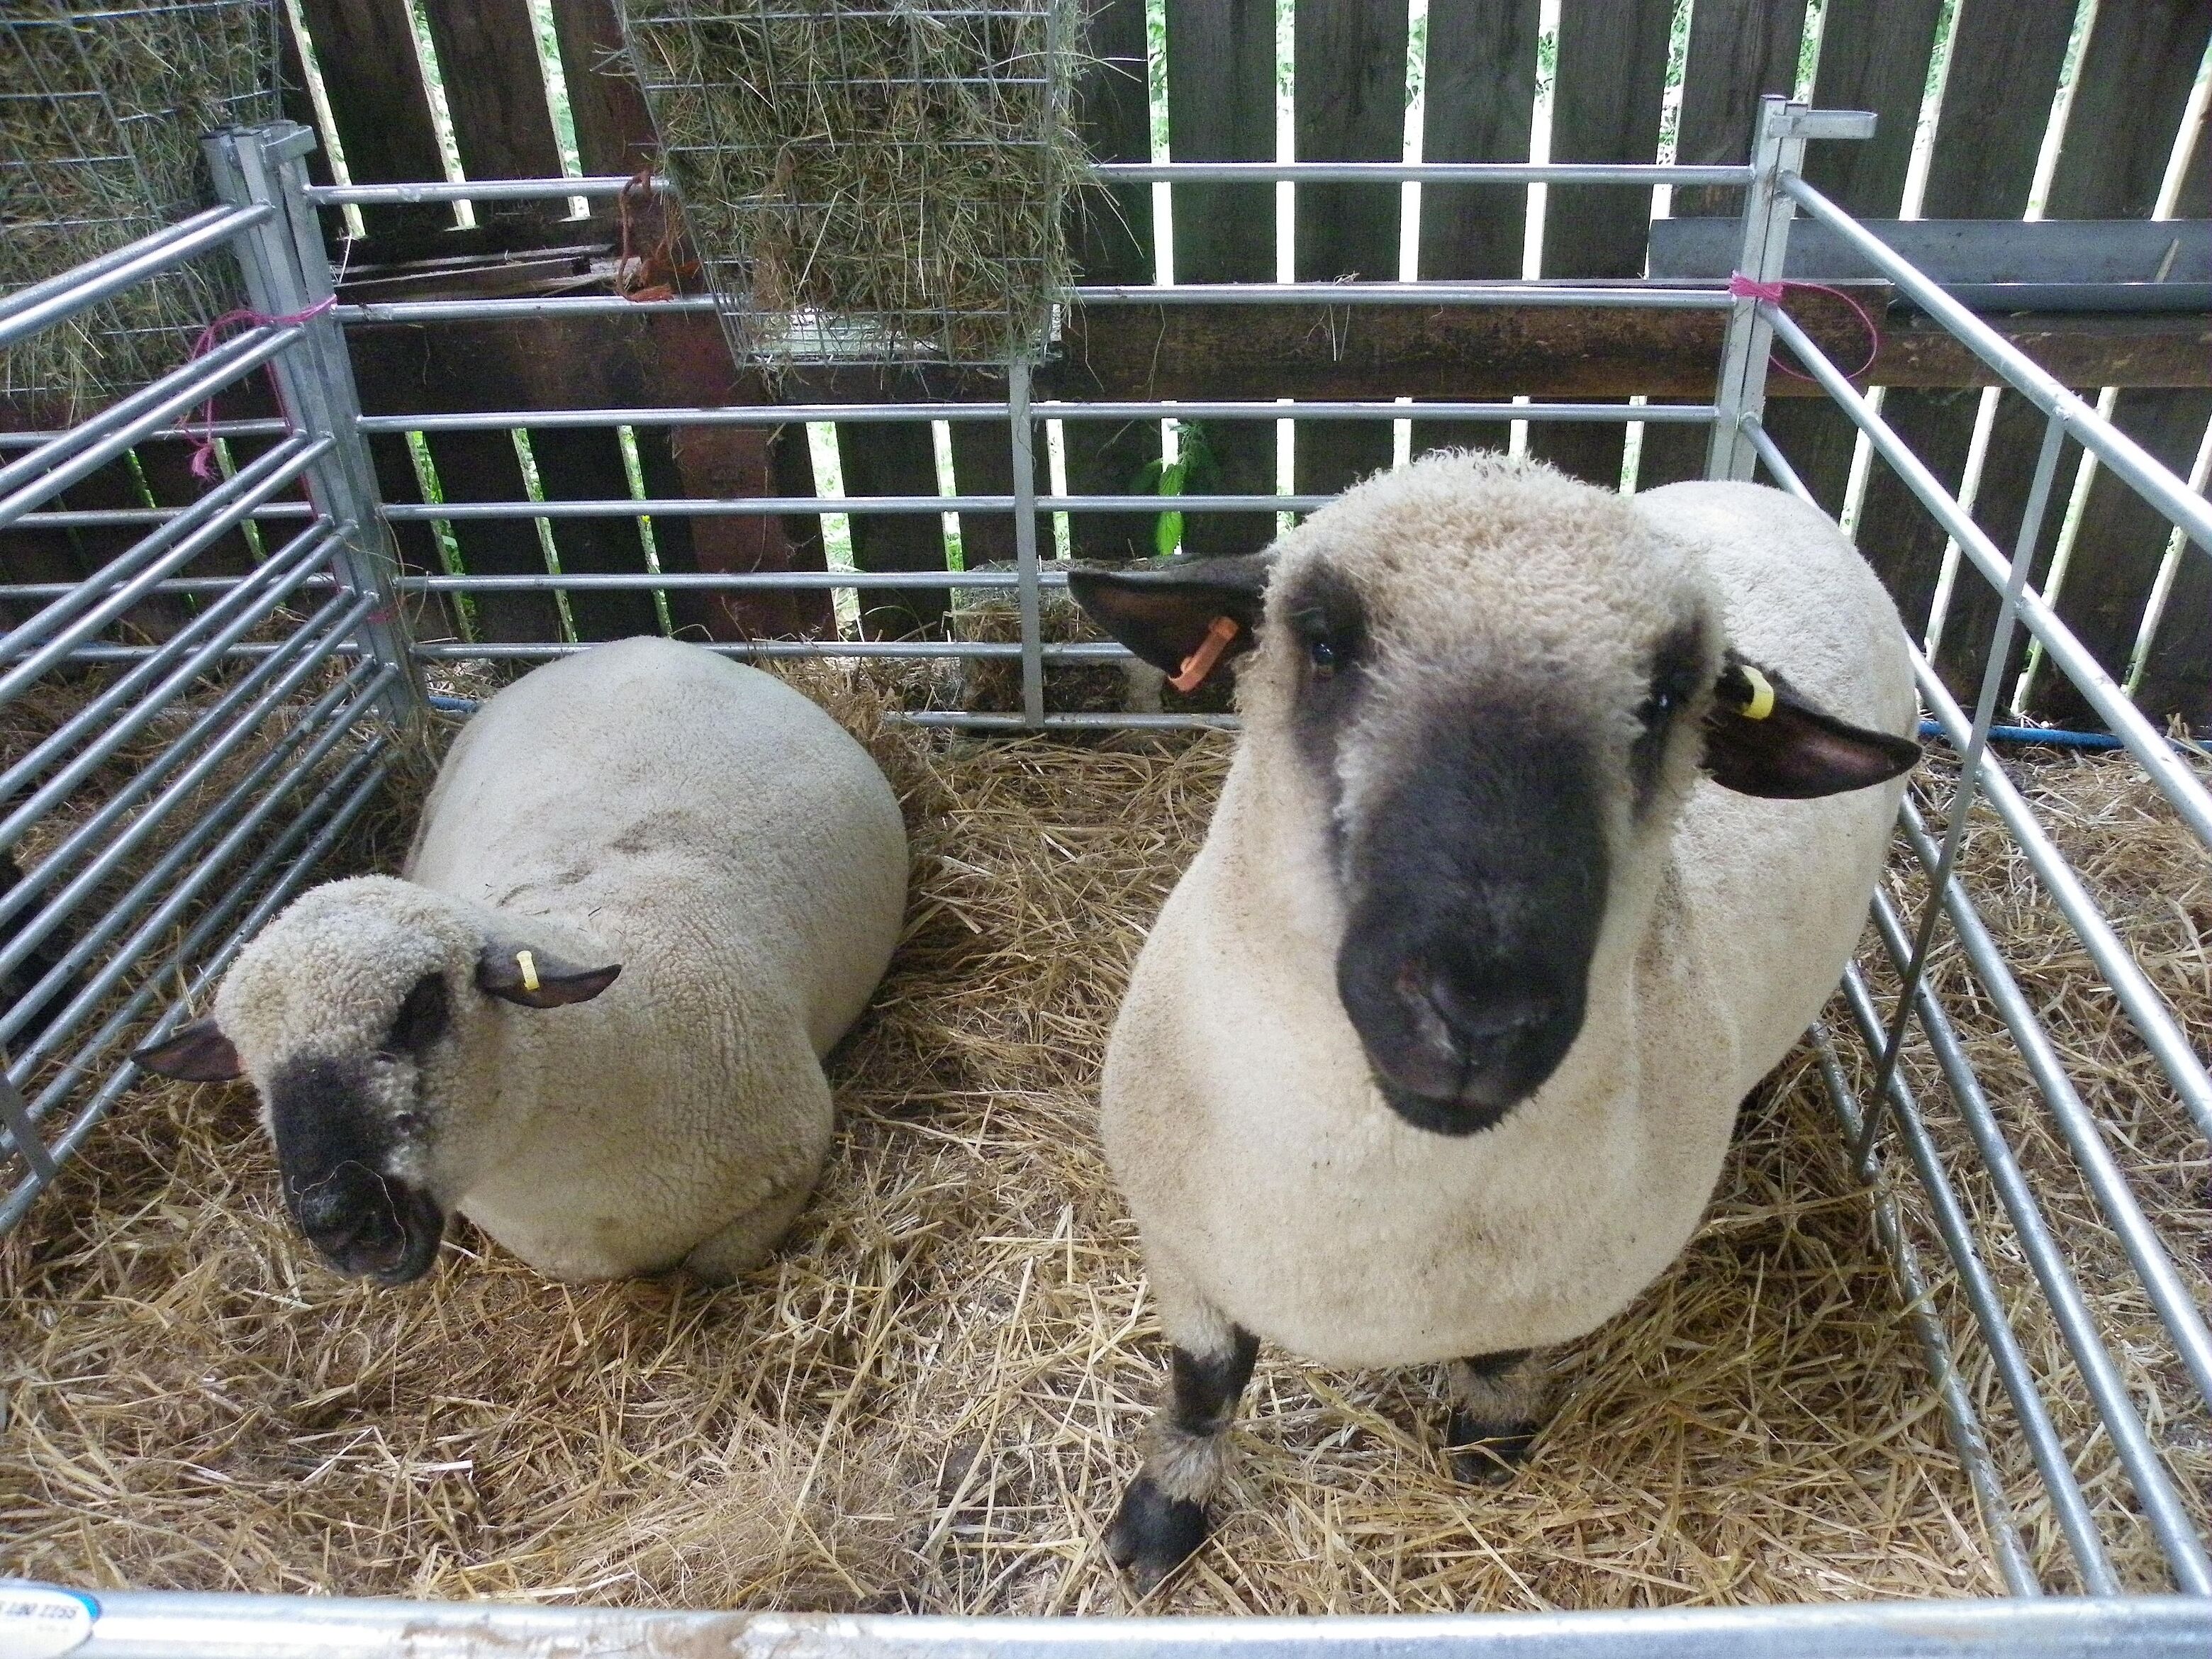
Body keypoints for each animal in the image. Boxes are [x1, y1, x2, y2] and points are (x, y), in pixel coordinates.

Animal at [133, 636, 907, 1287]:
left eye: (422, 1005)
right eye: (247, 1064)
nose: (336, 1220)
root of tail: (640, 642)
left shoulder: (789, 1165)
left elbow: (710, 1267)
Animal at [1064, 452, 1920, 1589]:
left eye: (1665, 700)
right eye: (1324, 643)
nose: (1479, 1013)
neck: (1368, 1197)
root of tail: (1762, 488)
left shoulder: (1557, 1284)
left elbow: (1502, 1356)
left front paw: (1486, 1443)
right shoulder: (1184, 1247)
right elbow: (1205, 1386)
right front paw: (1161, 1518)